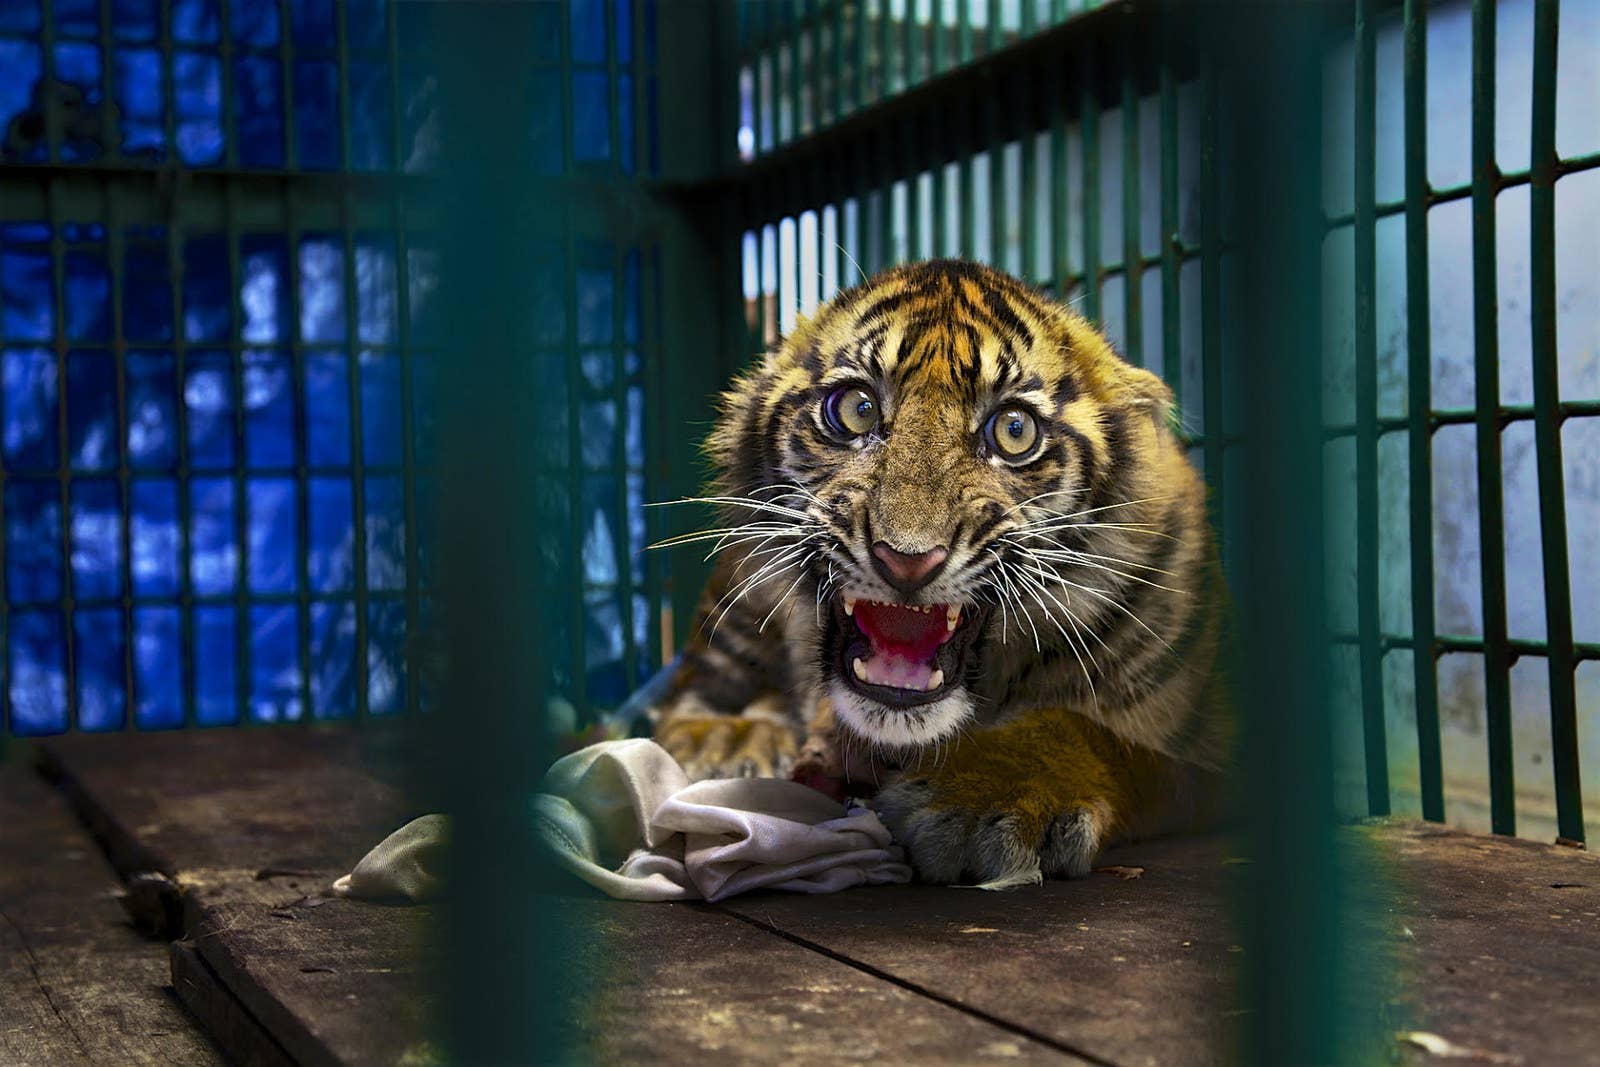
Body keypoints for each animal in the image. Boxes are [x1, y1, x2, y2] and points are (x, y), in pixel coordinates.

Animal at [652, 258, 1230, 887]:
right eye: (857, 409)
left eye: (1014, 430)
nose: (907, 558)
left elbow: (1106, 738)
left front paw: (985, 795)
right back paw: (725, 738)